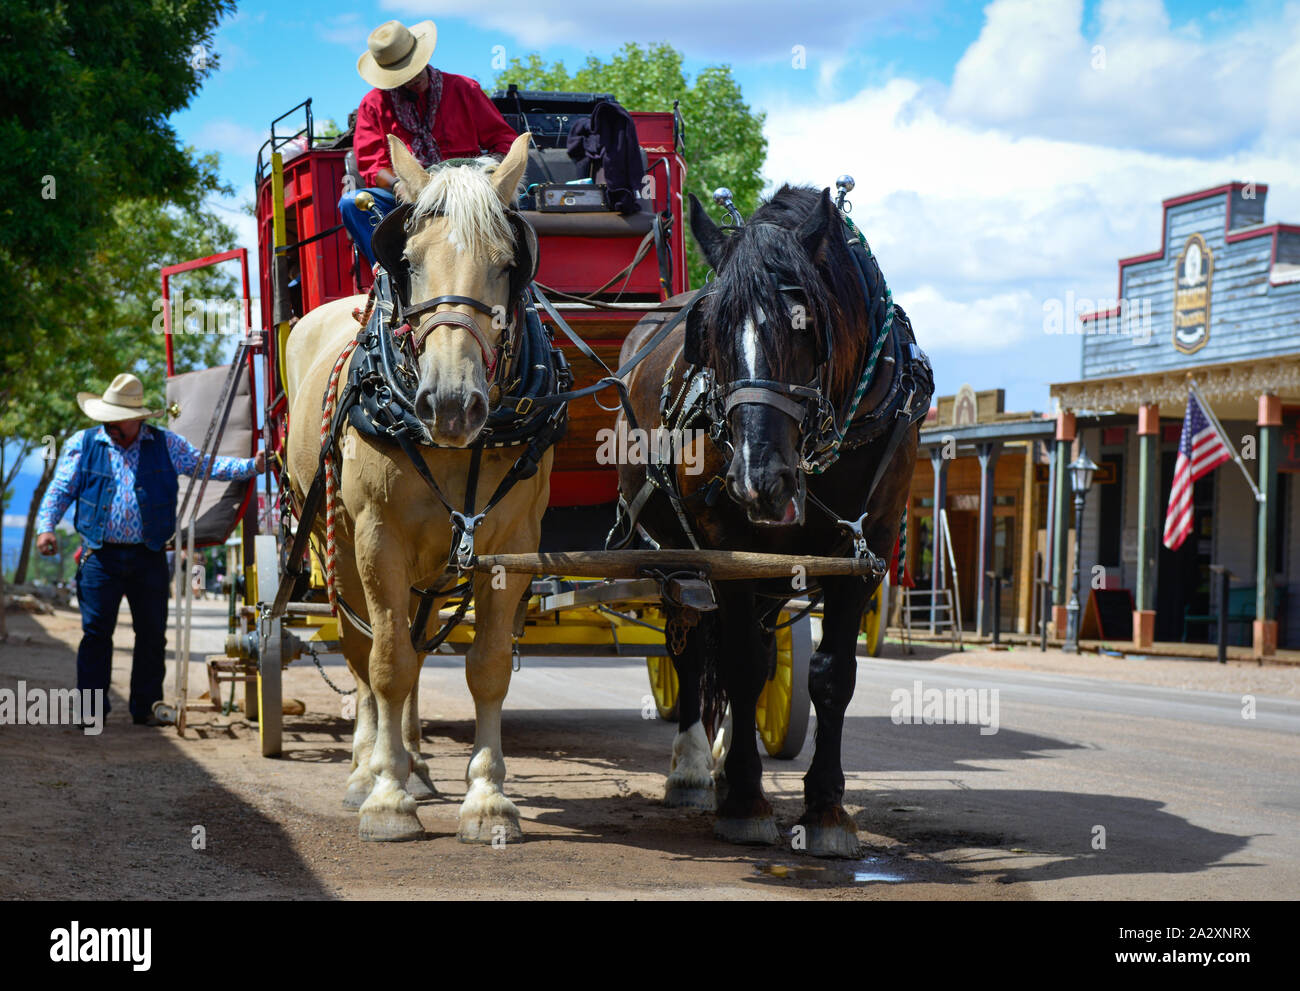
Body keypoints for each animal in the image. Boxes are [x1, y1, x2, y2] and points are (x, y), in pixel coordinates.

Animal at [284, 131, 548, 842]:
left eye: (507, 264)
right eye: (407, 261)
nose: (451, 404)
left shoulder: (511, 544)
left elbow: (488, 667)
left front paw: (486, 799)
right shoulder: (379, 537)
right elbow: (387, 663)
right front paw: (386, 798)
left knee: (416, 643)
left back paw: (416, 764)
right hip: (336, 543)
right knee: (366, 650)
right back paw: (368, 766)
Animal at [613, 183, 930, 858]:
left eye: (805, 325)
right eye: (708, 332)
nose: (758, 479)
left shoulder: (864, 550)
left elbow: (831, 676)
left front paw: (827, 809)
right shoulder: (726, 549)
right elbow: (739, 666)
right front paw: (745, 801)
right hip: (675, 557)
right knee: (688, 649)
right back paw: (692, 767)